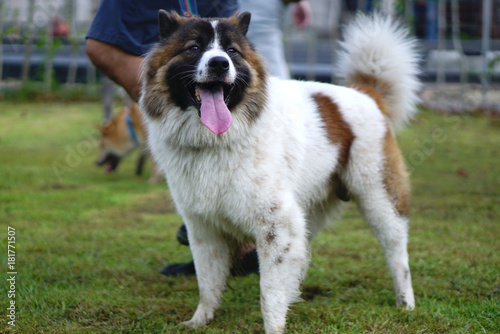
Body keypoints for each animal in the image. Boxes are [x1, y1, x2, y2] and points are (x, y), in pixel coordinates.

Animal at [139, 11, 420, 334]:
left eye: (232, 51)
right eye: (194, 48)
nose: (220, 63)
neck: (216, 140)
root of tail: (367, 94)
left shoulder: (276, 226)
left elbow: (269, 291)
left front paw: (273, 326)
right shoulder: (203, 228)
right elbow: (207, 282)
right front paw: (200, 319)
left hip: (378, 198)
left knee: (397, 253)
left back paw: (406, 303)